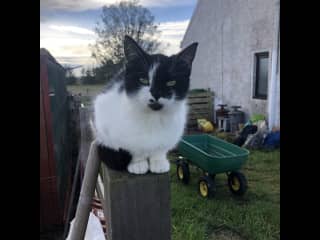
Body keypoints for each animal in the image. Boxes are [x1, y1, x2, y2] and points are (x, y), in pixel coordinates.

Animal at [92, 36, 198, 174]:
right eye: (143, 80)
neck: (153, 118)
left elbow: (161, 147)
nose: (156, 94)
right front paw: (138, 163)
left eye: (171, 82)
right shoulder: (103, 117)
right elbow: (132, 147)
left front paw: (158, 161)